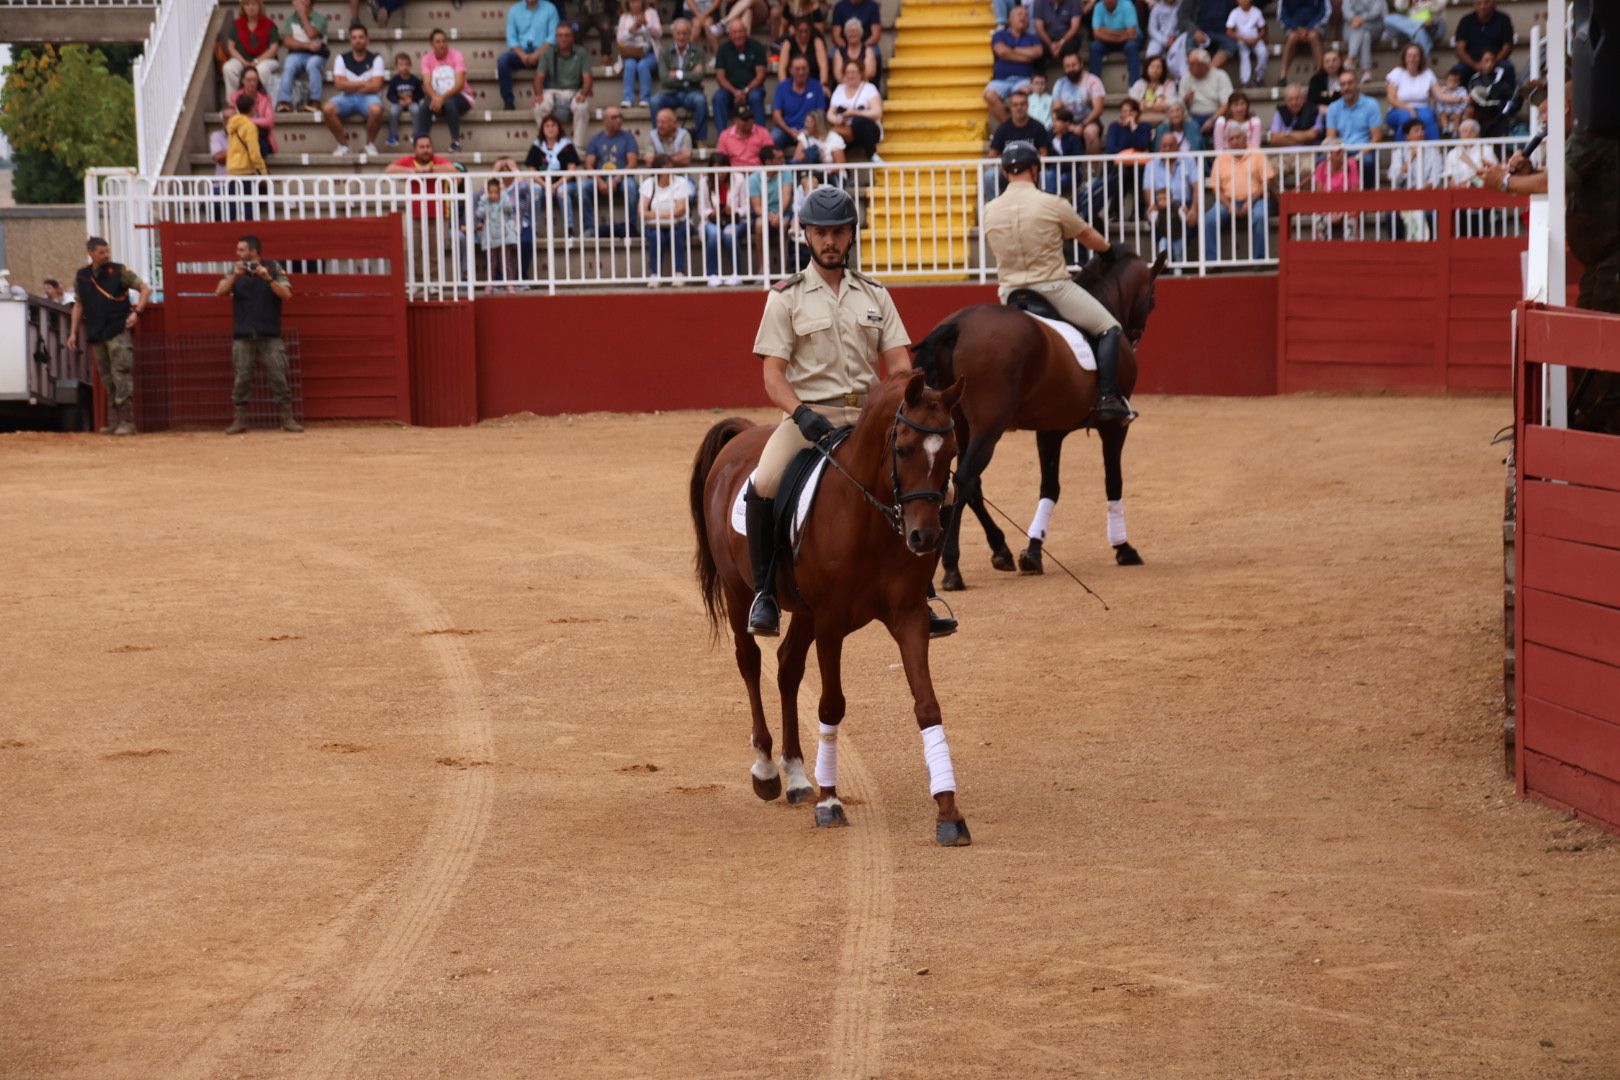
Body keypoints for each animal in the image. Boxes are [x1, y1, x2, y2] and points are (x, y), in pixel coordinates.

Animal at [686, 372, 972, 841]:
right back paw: (767, 769)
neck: (871, 519)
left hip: (803, 611)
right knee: (749, 662)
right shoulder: (831, 622)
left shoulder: (908, 616)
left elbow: (927, 705)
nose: (924, 537)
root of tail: (744, 435)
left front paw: (948, 812)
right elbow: (831, 705)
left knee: (786, 668)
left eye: (950, 452)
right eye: (903, 448)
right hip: (738, 591)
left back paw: (798, 776)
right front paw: (830, 802)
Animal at [913, 250, 1166, 595]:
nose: (1136, 335)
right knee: (964, 479)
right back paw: (952, 566)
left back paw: (998, 550)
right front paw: (1123, 548)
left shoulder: (1049, 431)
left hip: (959, 425)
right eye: (1151, 299)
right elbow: (1113, 482)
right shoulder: (1113, 429)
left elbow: (1050, 487)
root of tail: (957, 325)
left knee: (964, 482)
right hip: (989, 427)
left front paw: (1032, 551)